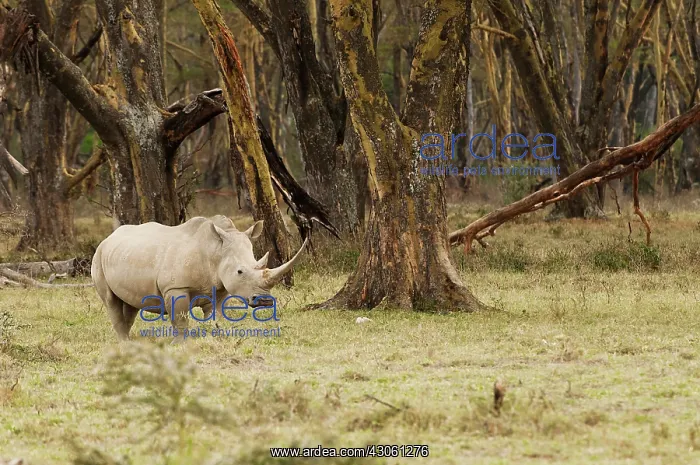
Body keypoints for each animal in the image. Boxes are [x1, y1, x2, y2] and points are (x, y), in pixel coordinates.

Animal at [91, 215, 308, 341]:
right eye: (240, 272)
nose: (265, 301)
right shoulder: (175, 288)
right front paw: (179, 343)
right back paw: (124, 343)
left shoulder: (219, 287)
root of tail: (108, 237)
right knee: (110, 300)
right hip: (99, 256)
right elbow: (180, 318)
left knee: (130, 304)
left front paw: (217, 336)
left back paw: (129, 340)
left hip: (123, 255)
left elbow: (216, 315)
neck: (216, 251)